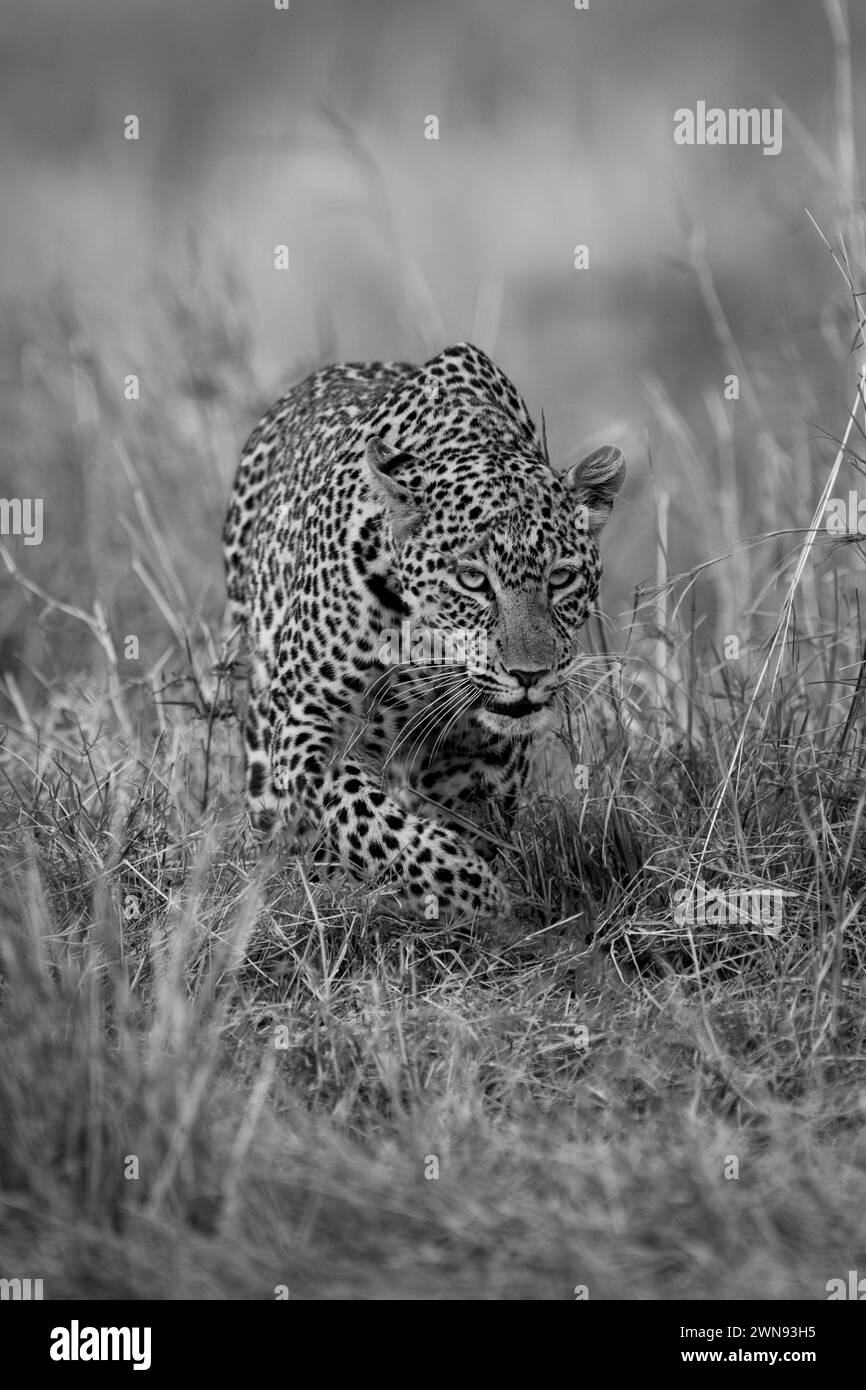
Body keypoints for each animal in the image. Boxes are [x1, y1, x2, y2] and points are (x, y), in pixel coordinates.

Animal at [223, 342, 626, 922]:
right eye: (473, 579)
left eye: (561, 578)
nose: (530, 674)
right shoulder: (306, 728)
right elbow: (366, 820)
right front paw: (473, 892)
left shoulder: (482, 757)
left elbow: (462, 822)